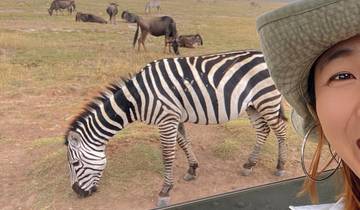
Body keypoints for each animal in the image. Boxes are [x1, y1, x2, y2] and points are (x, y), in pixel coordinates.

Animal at [64, 50, 286, 207]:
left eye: (74, 164)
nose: (77, 192)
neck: (137, 98)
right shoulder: (175, 117)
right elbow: (184, 142)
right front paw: (192, 169)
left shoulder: (167, 119)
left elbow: (168, 155)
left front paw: (165, 191)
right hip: (253, 105)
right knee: (263, 130)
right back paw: (249, 164)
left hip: (267, 100)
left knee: (280, 130)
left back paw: (280, 167)